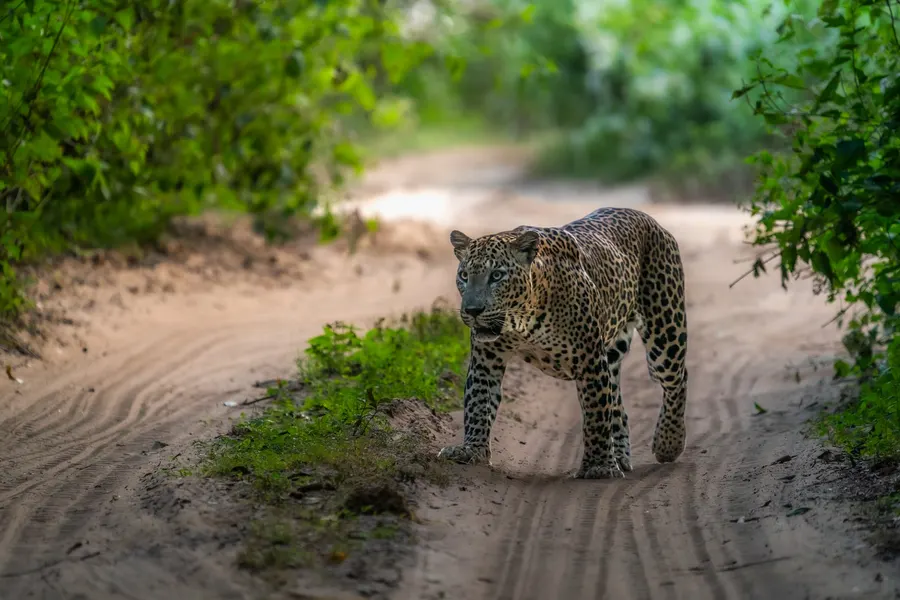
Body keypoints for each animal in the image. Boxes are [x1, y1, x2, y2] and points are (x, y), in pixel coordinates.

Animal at [437, 206, 688, 479]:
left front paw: (599, 466)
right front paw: (471, 450)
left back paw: (668, 443)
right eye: (464, 276)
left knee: (676, 378)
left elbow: (596, 413)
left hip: (665, 329)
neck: (522, 319)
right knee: (617, 403)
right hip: (612, 352)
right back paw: (621, 457)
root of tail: (646, 217)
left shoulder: (591, 359)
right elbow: (478, 402)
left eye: (496, 276)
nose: (472, 311)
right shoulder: (486, 359)